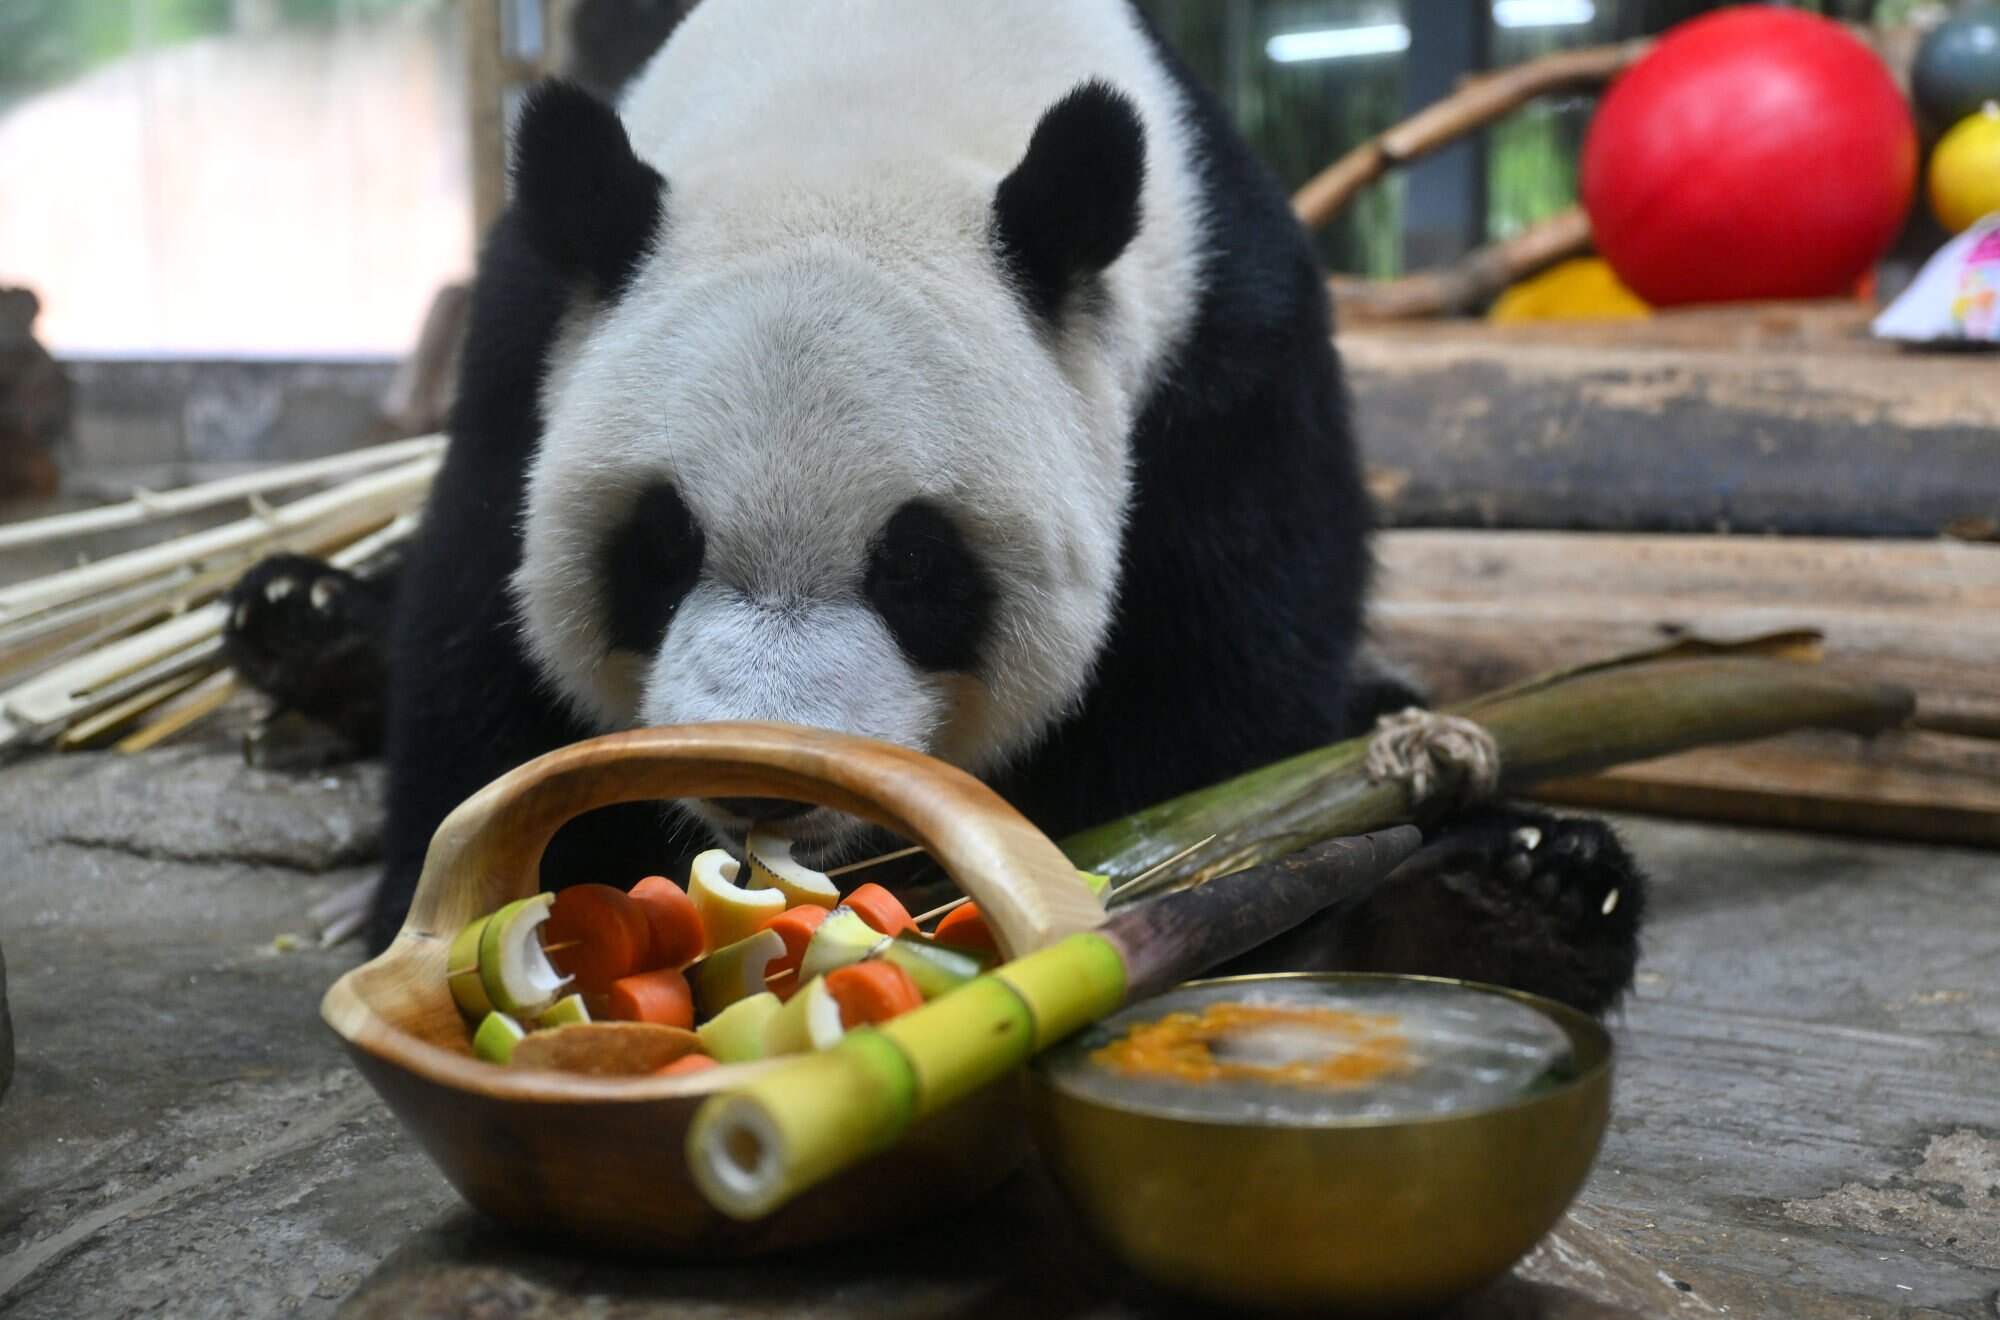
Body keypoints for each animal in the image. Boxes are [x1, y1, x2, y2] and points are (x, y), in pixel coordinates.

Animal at [225, 0, 1644, 1014]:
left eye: (916, 568)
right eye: (658, 548)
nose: (755, 783)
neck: (863, 97)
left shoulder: (1220, 356)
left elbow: (1203, 693)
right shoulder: (536, 330)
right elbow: (477, 622)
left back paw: (1510, 900)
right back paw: (304, 618)